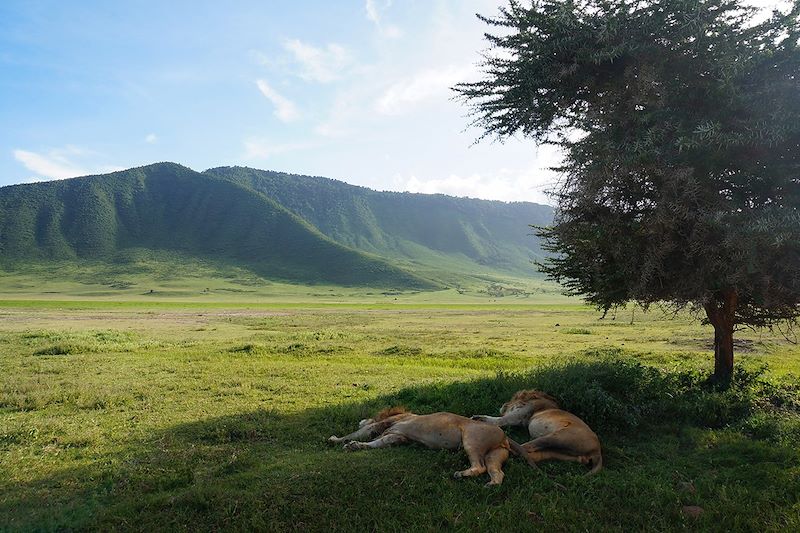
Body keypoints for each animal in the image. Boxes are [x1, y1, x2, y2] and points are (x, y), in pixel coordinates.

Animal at [328, 408, 536, 486]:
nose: (361, 419)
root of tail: (505, 436)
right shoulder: (396, 436)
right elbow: (377, 442)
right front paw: (355, 446)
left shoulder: (386, 425)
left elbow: (358, 433)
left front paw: (336, 440)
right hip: (494, 454)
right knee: (497, 472)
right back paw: (491, 485)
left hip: (471, 439)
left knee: (479, 466)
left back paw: (461, 474)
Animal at [468, 388, 600, 472]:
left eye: (512, 399)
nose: (504, 404)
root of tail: (596, 450)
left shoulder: (519, 415)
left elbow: (500, 420)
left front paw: (478, 418)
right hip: (559, 453)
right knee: (530, 453)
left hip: (558, 436)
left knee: (524, 448)